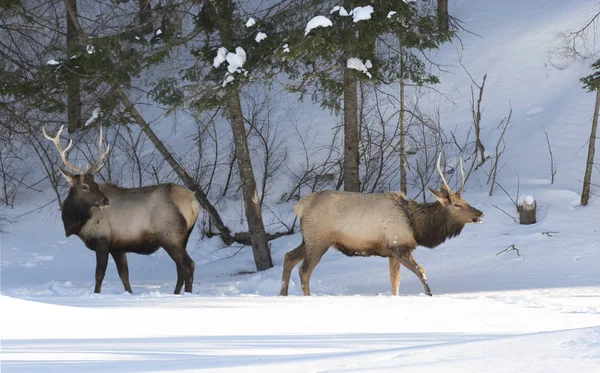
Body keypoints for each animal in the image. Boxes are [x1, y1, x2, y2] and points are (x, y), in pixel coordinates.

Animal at [43, 125, 202, 294]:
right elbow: (124, 274)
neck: (80, 222)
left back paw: (186, 293)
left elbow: (99, 274)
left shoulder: (102, 240)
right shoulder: (117, 246)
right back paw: (176, 293)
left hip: (169, 235)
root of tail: (193, 202)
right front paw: (129, 293)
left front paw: (96, 294)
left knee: (188, 264)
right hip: (183, 237)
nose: (105, 200)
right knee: (181, 267)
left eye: (95, 184)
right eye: (85, 186)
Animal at [280, 153, 482, 294]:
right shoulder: (398, 246)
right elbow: (421, 271)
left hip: (309, 239)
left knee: (289, 256)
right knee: (304, 270)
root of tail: (300, 206)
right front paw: (430, 294)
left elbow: (395, 282)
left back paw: (283, 295)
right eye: (457, 205)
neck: (416, 227)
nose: (480, 213)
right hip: (318, 240)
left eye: (465, 201)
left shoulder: (392, 252)